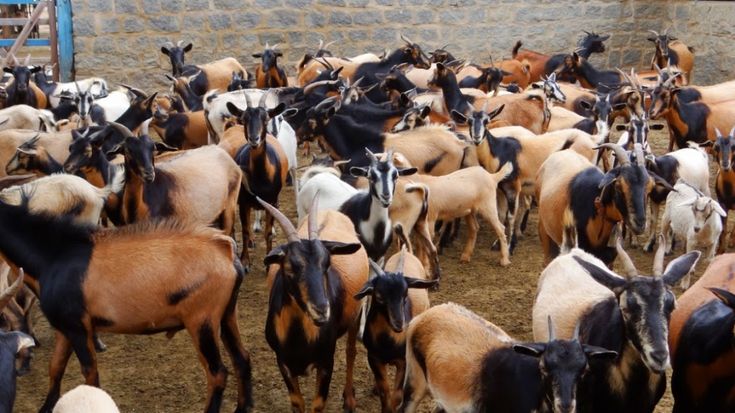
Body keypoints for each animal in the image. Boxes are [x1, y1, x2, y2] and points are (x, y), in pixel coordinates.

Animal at [0, 199, 252, 413]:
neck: (52, 256)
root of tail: (226, 251)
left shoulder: (78, 326)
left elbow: (90, 374)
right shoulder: (65, 326)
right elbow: (55, 368)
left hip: (201, 319)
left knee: (217, 373)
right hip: (227, 313)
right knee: (242, 358)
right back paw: (243, 408)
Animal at [260, 198, 367, 413]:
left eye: (326, 264)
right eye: (289, 268)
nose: (322, 310)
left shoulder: (326, 361)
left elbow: (318, 405)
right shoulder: (282, 361)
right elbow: (297, 403)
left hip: (356, 313)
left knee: (351, 352)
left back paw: (349, 399)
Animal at [355, 247, 436, 413]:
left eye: (405, 294)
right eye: (379, 296)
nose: (399, 324)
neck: (388, 342)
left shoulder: (403, 360)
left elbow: (398, 394)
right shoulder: (374, 357)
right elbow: (384, 390)